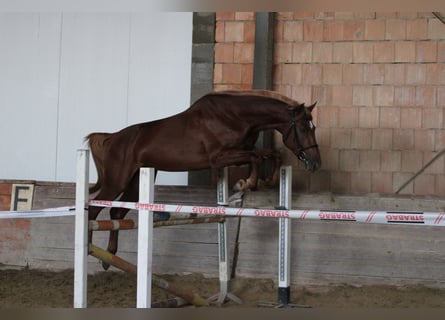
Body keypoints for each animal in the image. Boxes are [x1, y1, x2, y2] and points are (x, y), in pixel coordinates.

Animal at [86, 89, 320, 268]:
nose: (316, 163)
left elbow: (270, 154)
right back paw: (88, 247)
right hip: (117, 180)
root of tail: (112, 138)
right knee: (95, 209)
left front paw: (268, 181)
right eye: (302, 128)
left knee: (116, 212)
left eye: (313, 127)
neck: (235, 117)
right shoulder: (218, 158)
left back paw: (109, 257)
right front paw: (247, 183)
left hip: (137, 181)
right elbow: (255, 157)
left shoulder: (239, 151)